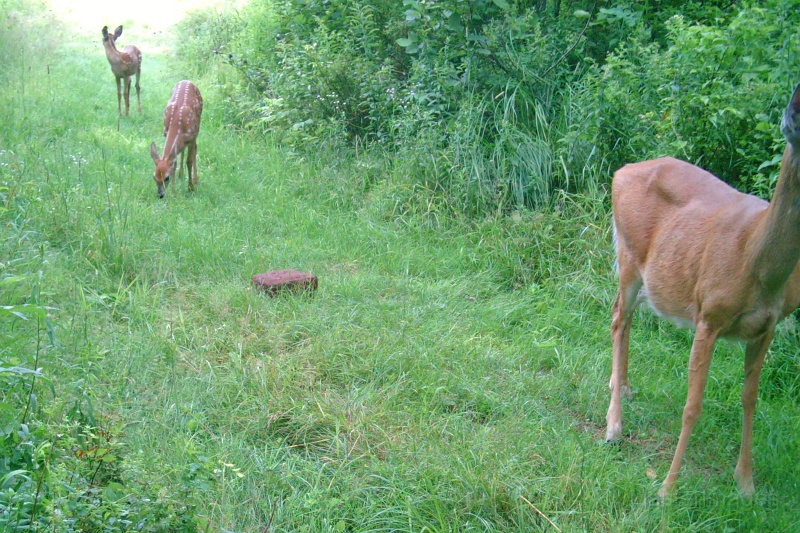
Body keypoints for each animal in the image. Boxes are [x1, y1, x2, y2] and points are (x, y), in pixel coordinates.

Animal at [604, 81, 800, 496]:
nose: (792, 113)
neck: (759, 264)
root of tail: (622, 169)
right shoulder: (709, 313)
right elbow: (693, 405)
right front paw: (667, 488)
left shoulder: (769, 326)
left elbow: (750, 398)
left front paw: (745, 483)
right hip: (628, 255)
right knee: (617, 317)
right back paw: (614, 425)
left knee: (626, 319)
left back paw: (623, 385)